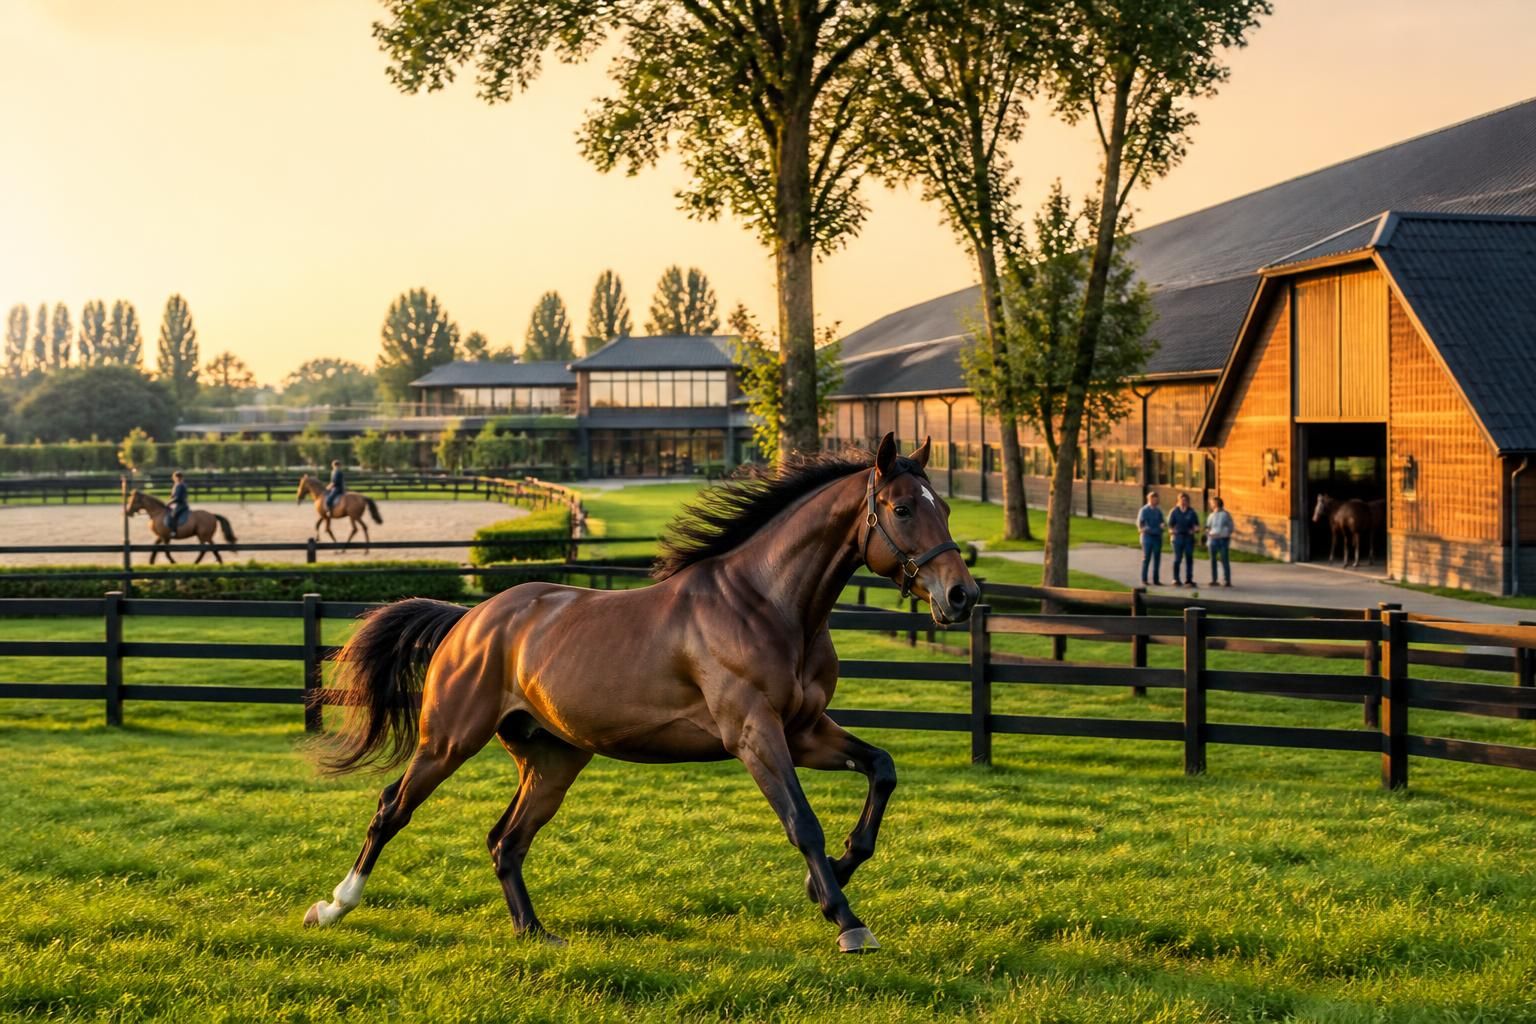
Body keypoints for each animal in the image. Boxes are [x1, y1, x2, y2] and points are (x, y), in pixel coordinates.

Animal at [301, 433, 979, 953]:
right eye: (901, 510)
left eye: (945, 508)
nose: (962, 596)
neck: (766, 603)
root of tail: (470, 619)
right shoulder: (755, 734)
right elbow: (802, 823)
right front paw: (846, 921)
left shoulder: (806, 730)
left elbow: (882, 770)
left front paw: (831, 878)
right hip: (448, 740)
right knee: (393, 807)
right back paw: (333, 907)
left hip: (552, 759)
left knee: (505, 841)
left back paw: (535, 933)